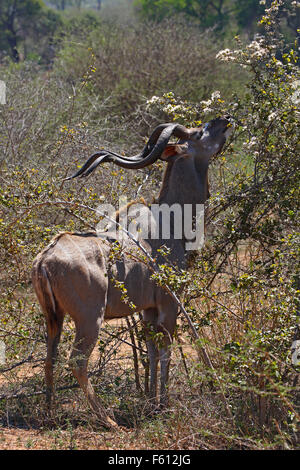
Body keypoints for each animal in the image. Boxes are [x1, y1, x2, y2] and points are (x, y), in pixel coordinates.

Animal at [31, 115, 232, 428]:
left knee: (49, 357)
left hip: (54, 318)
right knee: (76, 360)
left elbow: (150, 351)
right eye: (200, 133)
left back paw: (51, 414)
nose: (225, 120)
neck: (170, 223)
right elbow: (166, 351)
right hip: (90, 319)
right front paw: (163, 405)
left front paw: (150, 401)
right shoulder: (168, 304)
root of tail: (44, 259)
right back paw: (107, 419)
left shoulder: (147, 310)